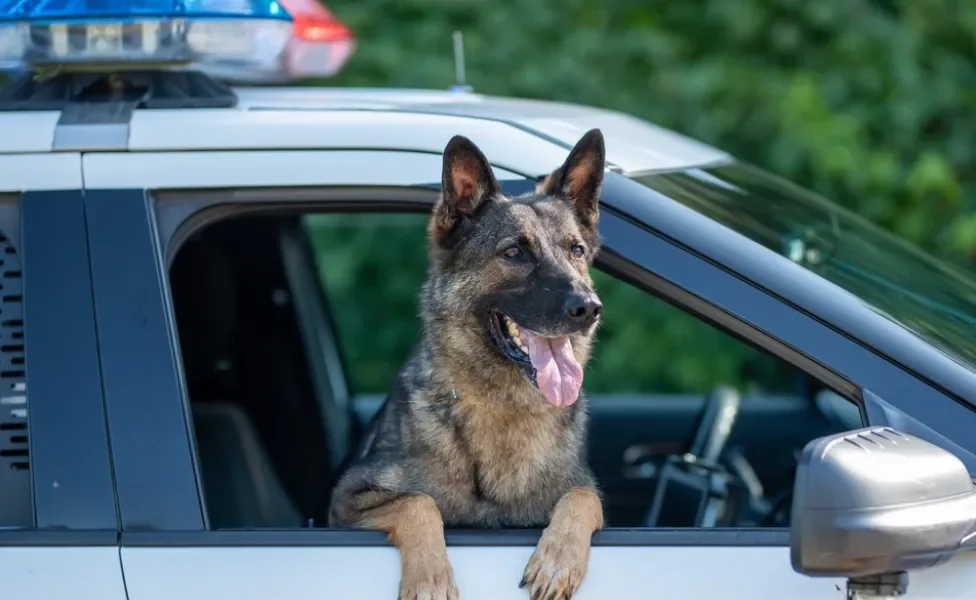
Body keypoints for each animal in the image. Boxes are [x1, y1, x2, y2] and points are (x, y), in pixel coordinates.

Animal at [332, 127, 608, 600]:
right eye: (514, 252)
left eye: (575, 250)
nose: (589, 308)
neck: (504, 406)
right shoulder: (346, 501)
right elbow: (418, 501)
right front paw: (430, 576)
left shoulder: (582, 490)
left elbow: (583, 497)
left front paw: (557, 560)